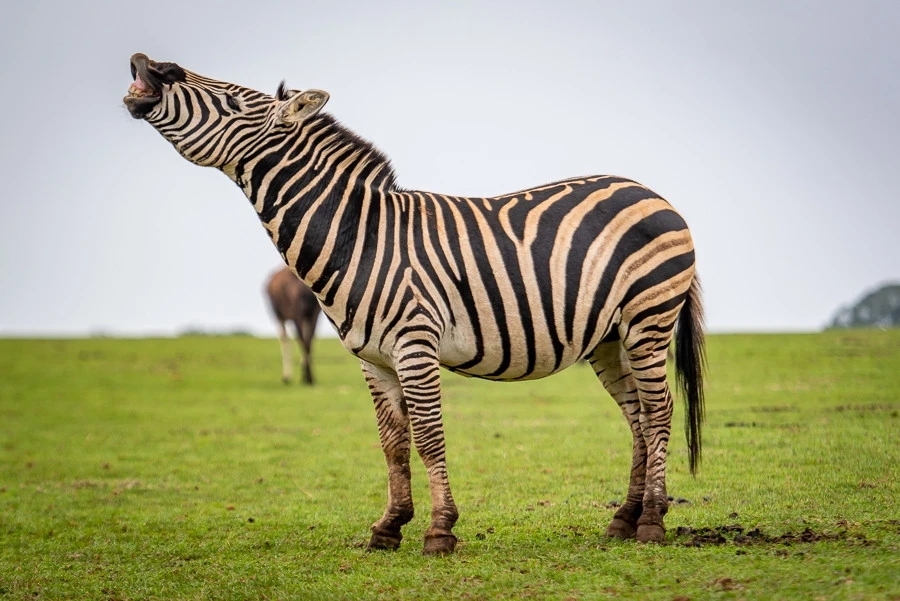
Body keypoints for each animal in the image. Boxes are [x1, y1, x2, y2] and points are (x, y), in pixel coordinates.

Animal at [124, 53, 705, 556]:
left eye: (231, 99)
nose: (148, 63)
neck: (360, 237)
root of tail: (653, 193)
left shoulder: (415, 344)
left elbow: (428, 437)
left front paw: (439, 531)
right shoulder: (373, 358)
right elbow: (393, 443)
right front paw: (388, 527)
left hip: (648, 318)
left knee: (659, 409)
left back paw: (653, 522)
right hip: (608, 337)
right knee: (636, 415)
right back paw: (623, 520)